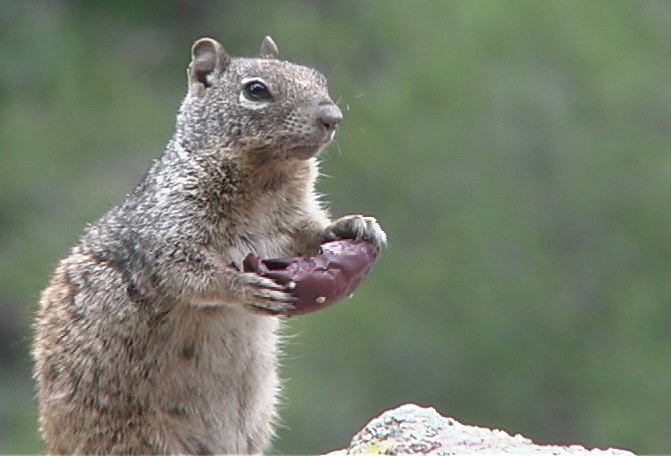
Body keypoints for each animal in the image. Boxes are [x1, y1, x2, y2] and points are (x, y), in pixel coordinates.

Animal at [32, 36, 388, 456]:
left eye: (318, 78)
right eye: (256, 90)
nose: (333, 117)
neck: (267, 178)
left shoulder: (293, 223)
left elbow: (312, 233)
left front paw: (357, 225)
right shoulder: (174, 227)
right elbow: (185, 272)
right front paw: (243, 288)